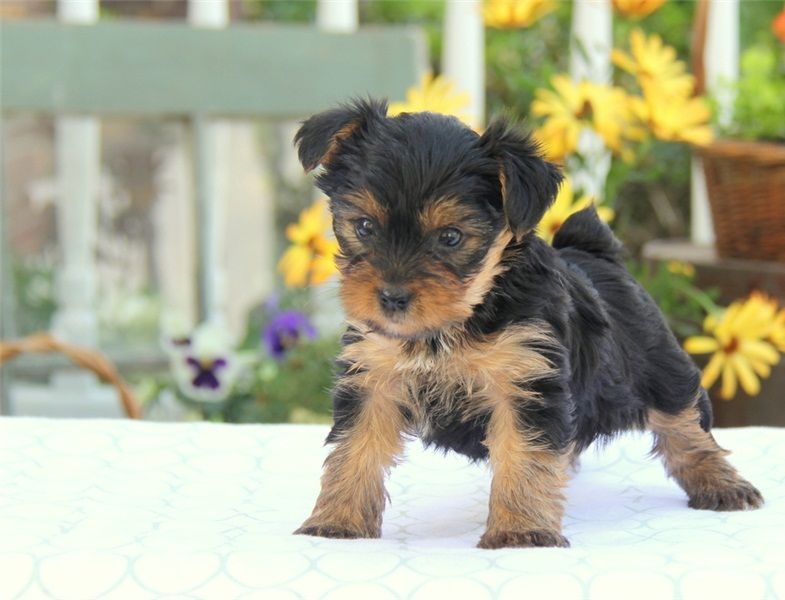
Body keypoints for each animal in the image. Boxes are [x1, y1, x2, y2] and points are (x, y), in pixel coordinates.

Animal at [292, 98, 763, 549]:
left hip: (657, 362)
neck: (458, 320)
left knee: (684, 421)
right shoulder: (373, 377)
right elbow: (355, 449)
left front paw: (519, 531)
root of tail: (596, 253)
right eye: (364, 227)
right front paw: (337, 520)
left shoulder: (525, 383)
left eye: (450, 237)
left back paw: (721, 484)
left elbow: (523, 455)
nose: (391, 297)